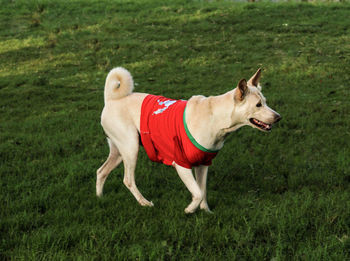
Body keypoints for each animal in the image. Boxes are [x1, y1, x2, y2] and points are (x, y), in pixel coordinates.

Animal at [96, 67, 282, 213]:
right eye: (258, 105)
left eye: (265, 102)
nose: (278, 117)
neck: (216, 118)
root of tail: (110, 99)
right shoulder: (181, 165)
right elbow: (198, 193)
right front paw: (190, 209)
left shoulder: (203, 164)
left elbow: (203, 191)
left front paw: (206, 211)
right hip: (131, 148)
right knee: (128, 180)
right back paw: (144, 203)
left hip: (119, 152)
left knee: (101, 171)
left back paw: (100, 198)